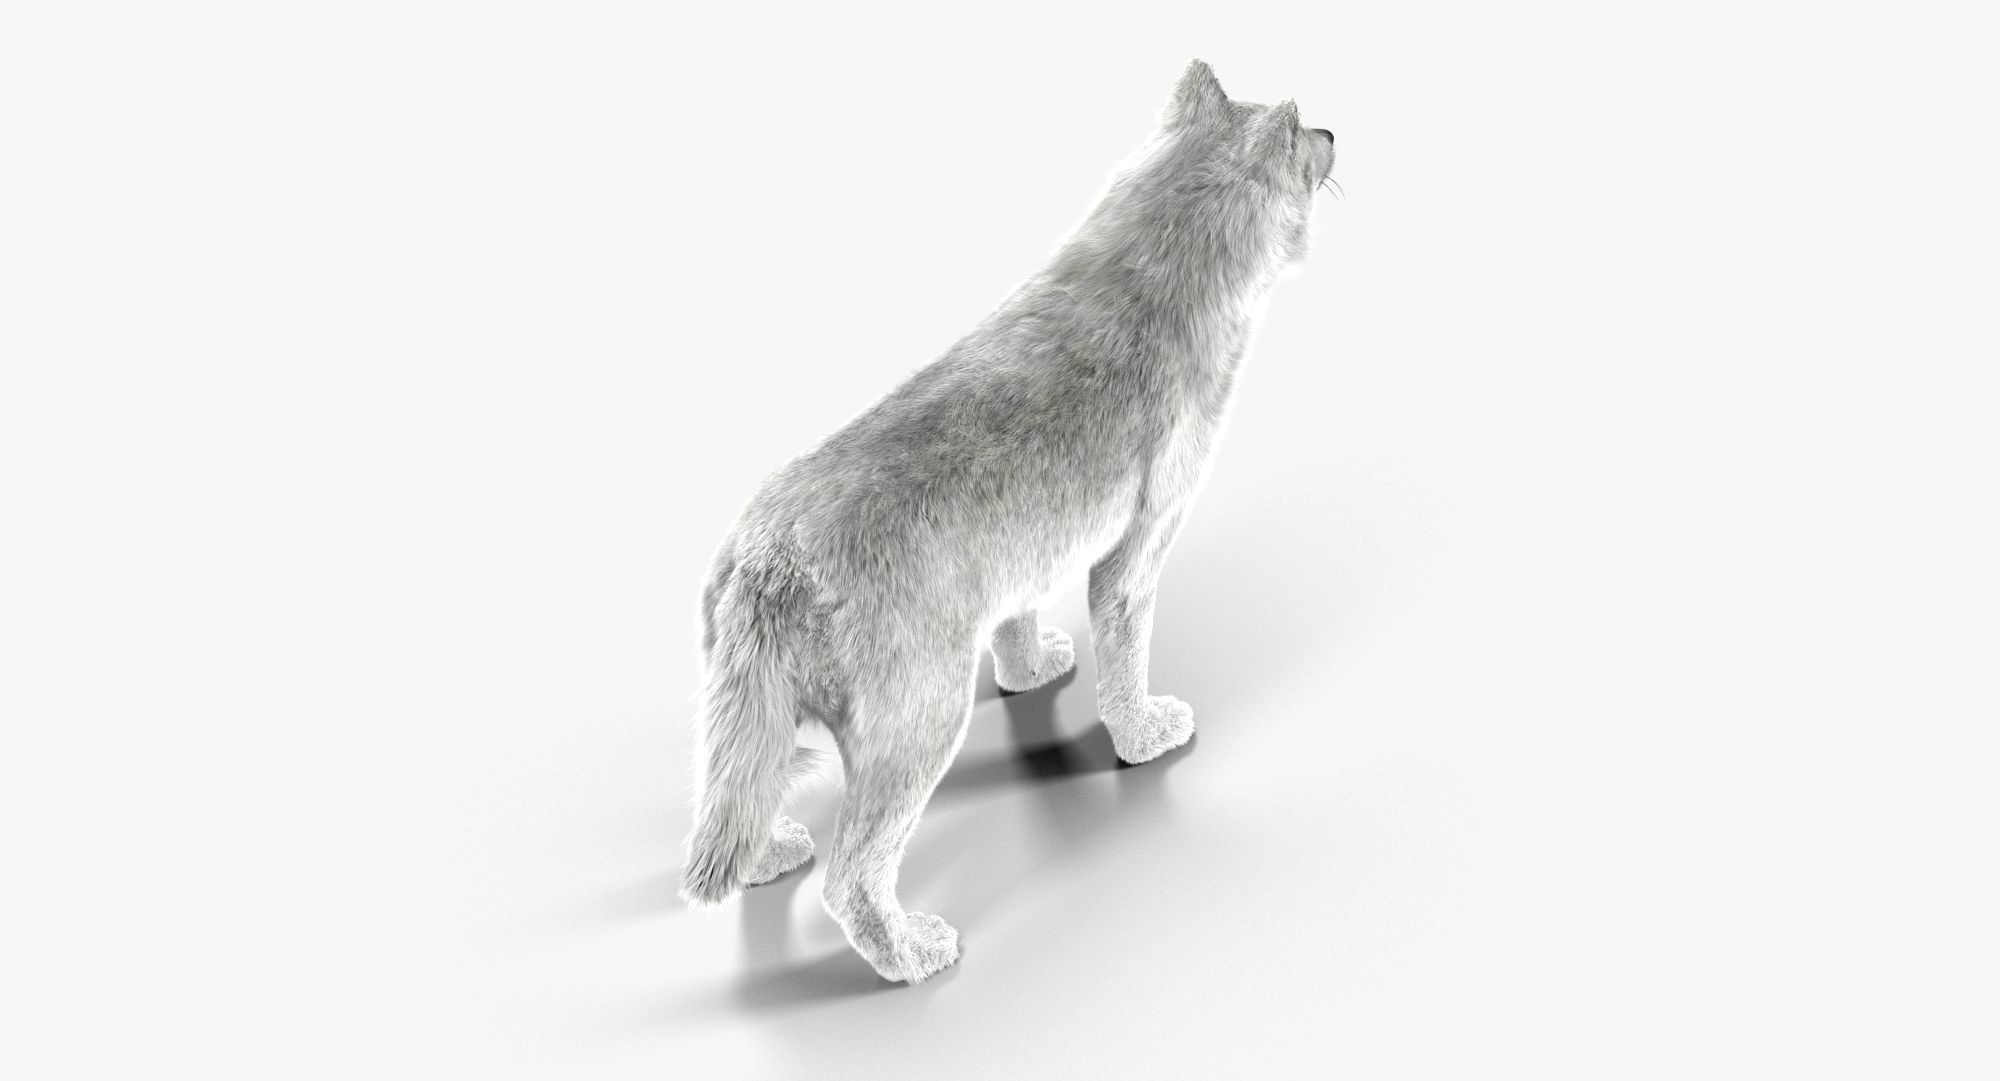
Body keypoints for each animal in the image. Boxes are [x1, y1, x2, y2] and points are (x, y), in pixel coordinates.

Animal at [680, 60, 1336, 983]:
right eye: (1306, 131)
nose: (1336, 134)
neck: (1156, 254)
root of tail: (769, 557)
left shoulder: (1027, 559)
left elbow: (1020, 621)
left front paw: (1033, 669)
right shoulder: (1135, 554)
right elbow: (1125, 667)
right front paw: (1146, 734)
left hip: (748, 711)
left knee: (736, 803)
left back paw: (771, 855)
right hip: (922, 720)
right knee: (852, 874)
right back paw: (914, 951)